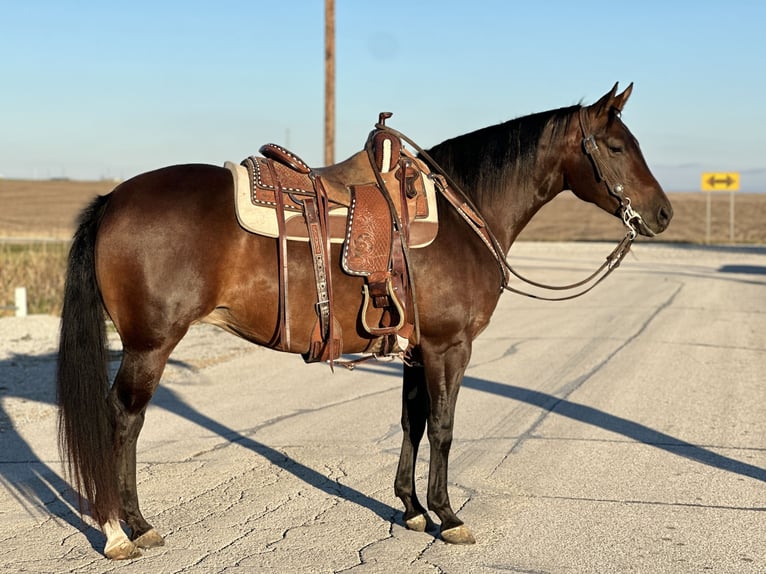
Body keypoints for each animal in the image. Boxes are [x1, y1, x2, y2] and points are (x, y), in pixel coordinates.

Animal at [58, 83, 672, 560]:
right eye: (617, 145)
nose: (663, 213)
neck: (463, 214)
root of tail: (113, 200)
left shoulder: (415, 350)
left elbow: (412, 423)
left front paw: (413, 508)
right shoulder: (449, 348)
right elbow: (443, 428)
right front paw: (449, 516)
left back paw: (133, 525)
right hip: (150, 345)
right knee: (123, 419)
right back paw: (122, 531)